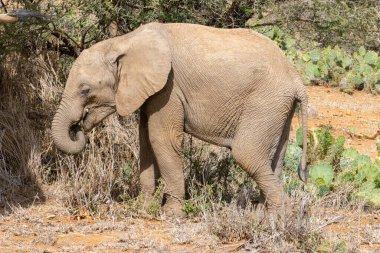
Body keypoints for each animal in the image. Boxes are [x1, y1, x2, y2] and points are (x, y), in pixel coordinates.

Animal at [52, 21, 308, 215]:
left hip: (265, 103)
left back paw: (275, 219)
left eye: (85, 90)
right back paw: (265, 215)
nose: (78, 128)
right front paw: (142, 208)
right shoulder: (152, 91)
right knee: (275, 158)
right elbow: (145, 141)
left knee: (247, 153)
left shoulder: (168, 88)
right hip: (278, 108)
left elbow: (160, 139)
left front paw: (171, 214)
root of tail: (296, 77)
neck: (123, 42)